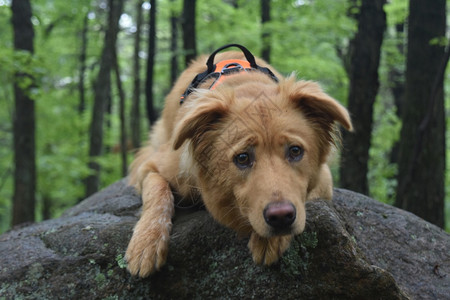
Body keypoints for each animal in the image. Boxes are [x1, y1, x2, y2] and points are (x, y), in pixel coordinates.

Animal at [125, 44, 354, 276]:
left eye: (295, 151)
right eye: (242, 158)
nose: (281, 217)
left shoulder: (323, 180)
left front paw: (269, 241)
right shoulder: (153, 165)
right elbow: (158, 193)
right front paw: (146, 243)